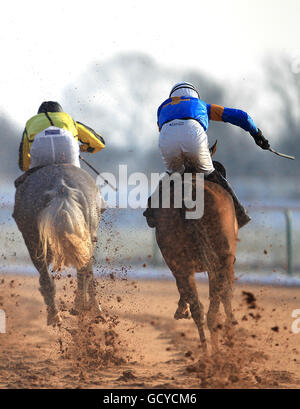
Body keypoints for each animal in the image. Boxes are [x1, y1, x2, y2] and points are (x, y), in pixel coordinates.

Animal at [13, 163, 103, 326]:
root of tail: (62, 187)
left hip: (35, 245)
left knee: (48, 278)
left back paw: (56, 315)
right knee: (83, 272)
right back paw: (78, 308)